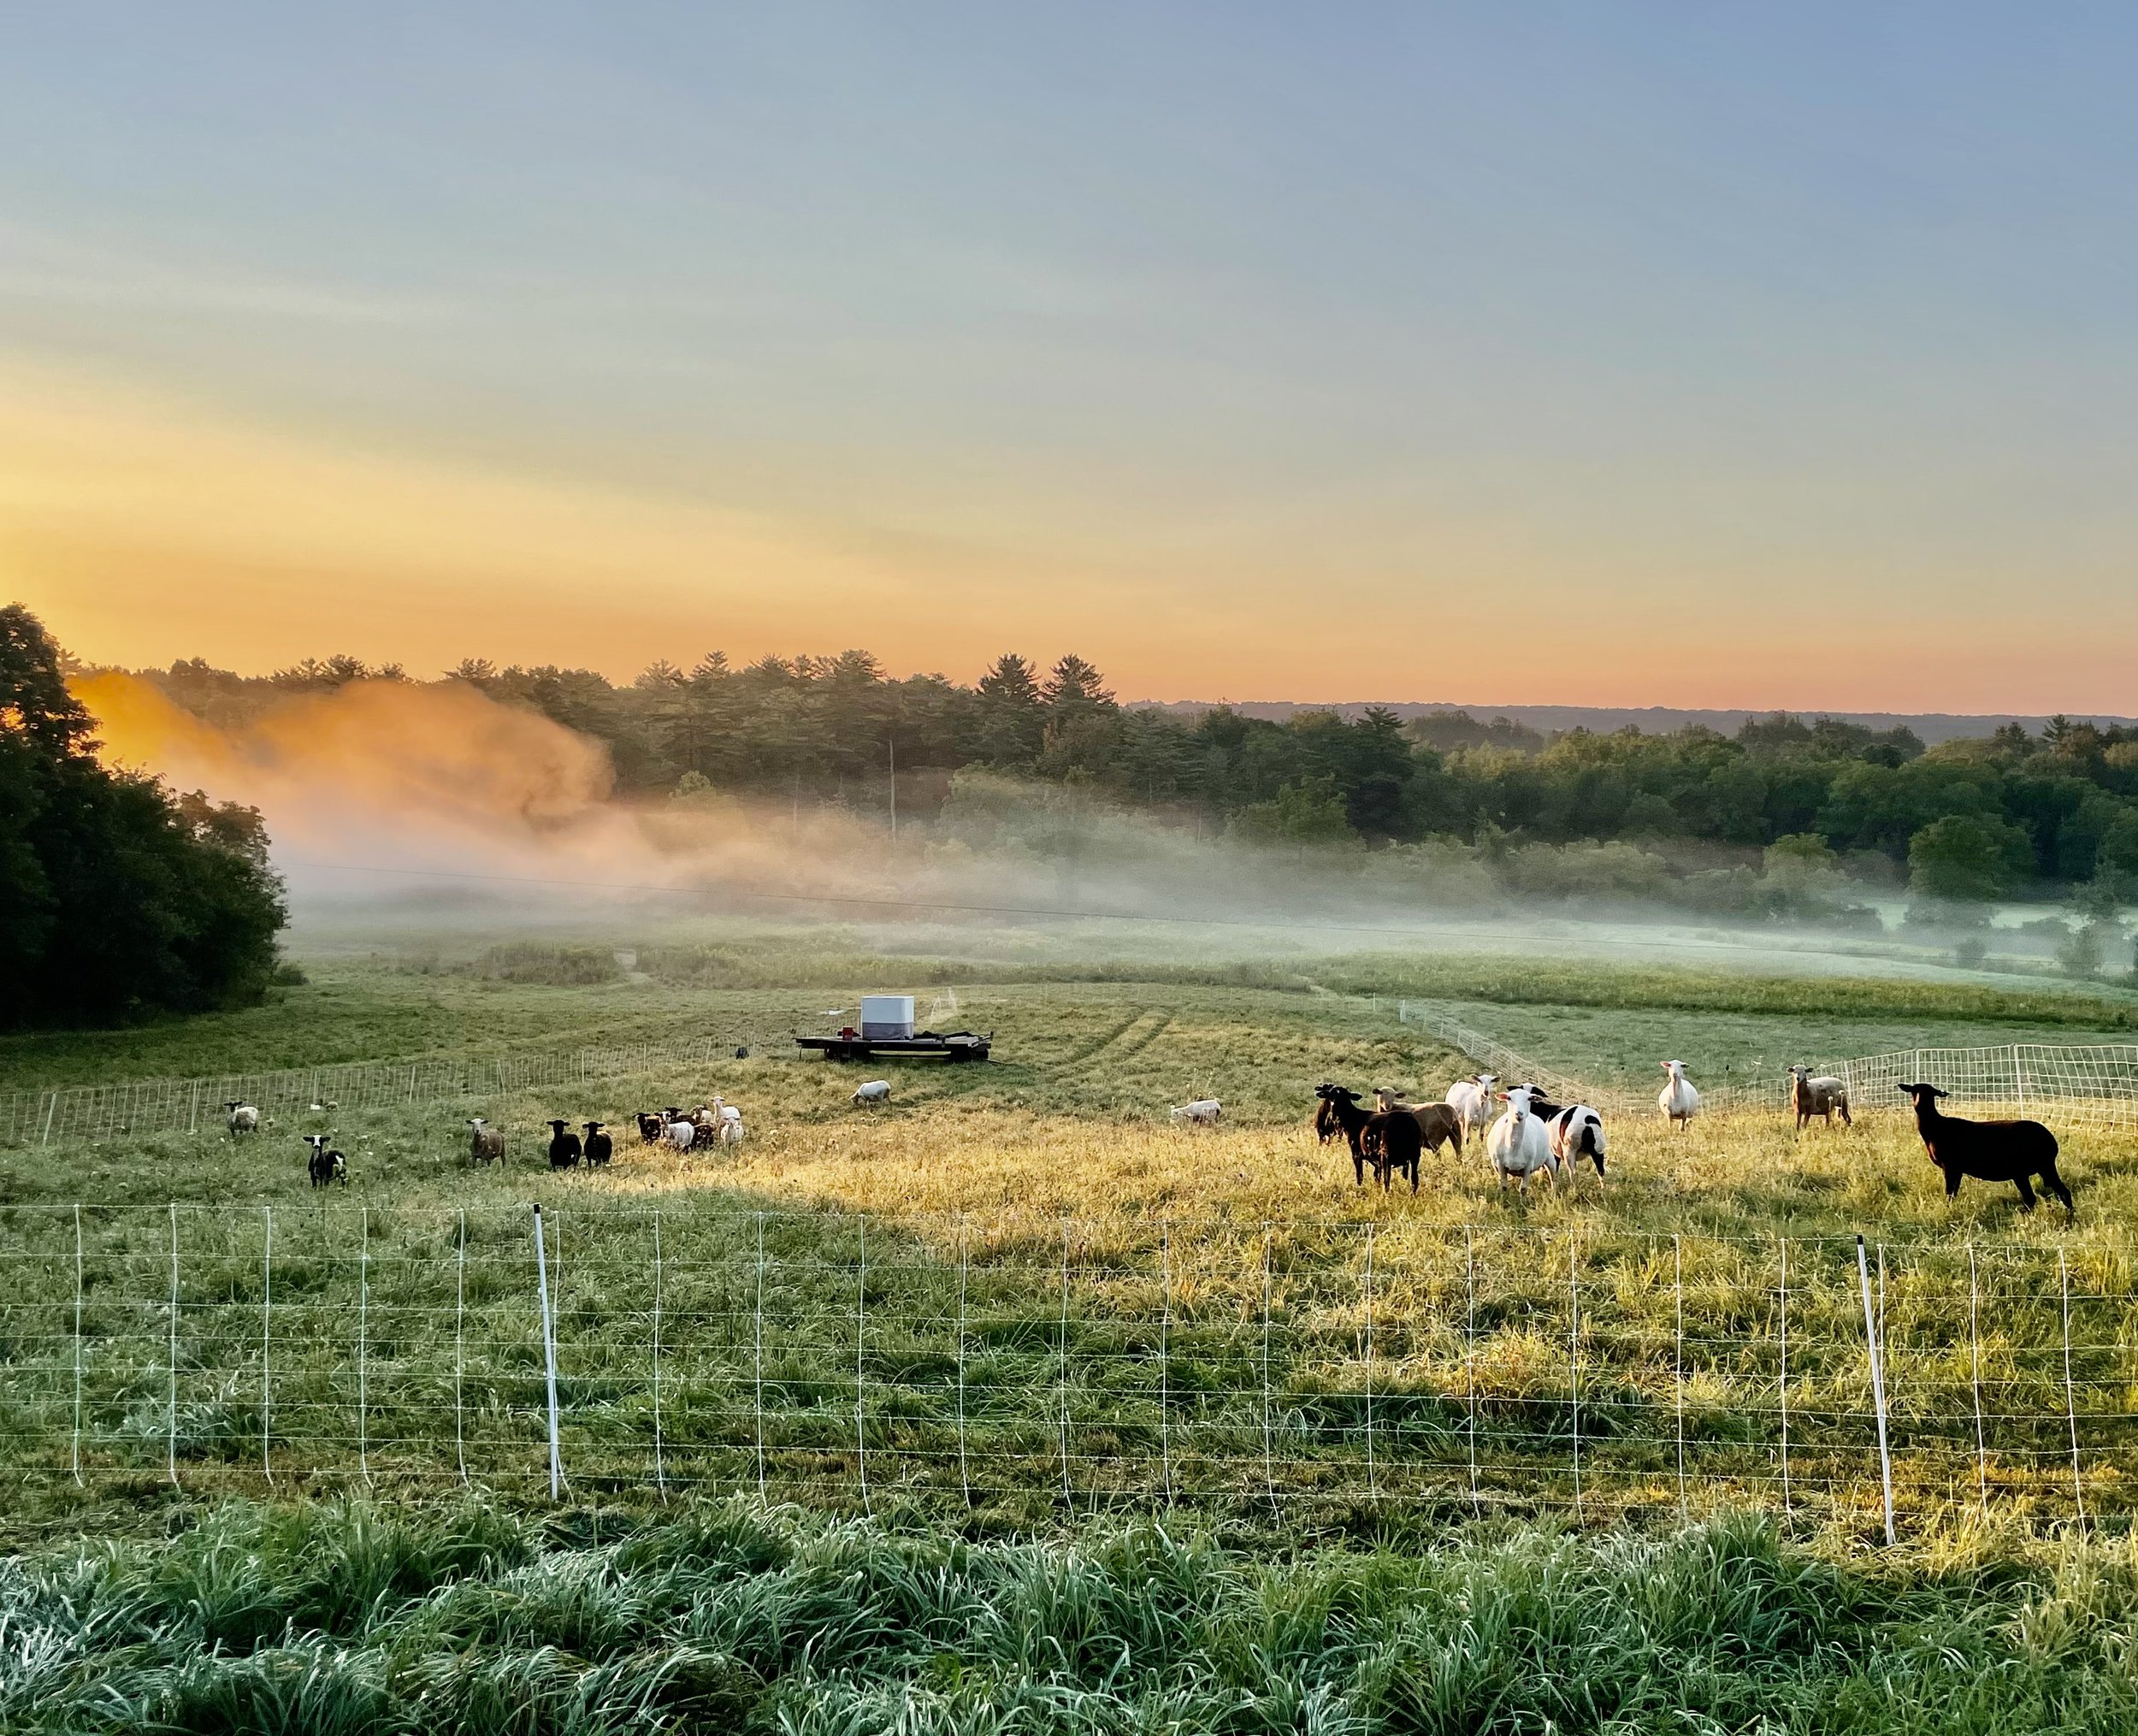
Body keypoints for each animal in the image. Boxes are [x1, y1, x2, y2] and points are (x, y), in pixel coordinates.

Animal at [1900, 1082, 2073, 1219]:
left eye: (1931, 1093)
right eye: (1913, 1091)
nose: (1918, 1105)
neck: (1935, 1127)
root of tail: (2051, 1141)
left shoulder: (1950, 1165)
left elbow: (1949, 1193)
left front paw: (1949, 1210)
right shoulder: (1958, 1169)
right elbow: (1954, 1192)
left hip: (2031, 1168)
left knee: (2041, 1196)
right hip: (2038, 1168)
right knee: (2056, 1193)